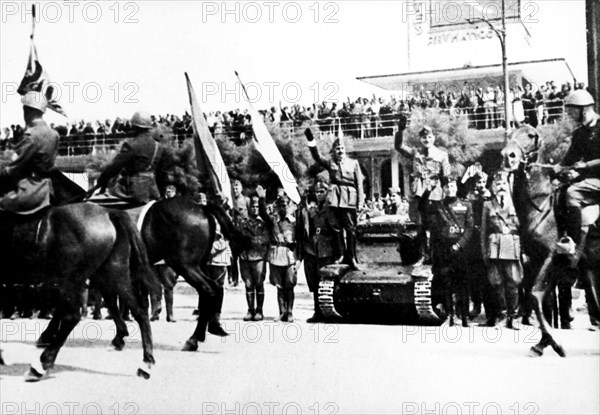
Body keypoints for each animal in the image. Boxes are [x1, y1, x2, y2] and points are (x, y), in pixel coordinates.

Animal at [0, 203, 161, 382]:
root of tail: (108, 212)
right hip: (113, 273)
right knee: (139, 311)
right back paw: (145, 362)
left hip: (72, 280)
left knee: (72, 317)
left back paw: (41, 365)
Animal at [502, 124, 600, 358]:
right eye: (511, 133)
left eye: (530, 135)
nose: (508, 156)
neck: (541, 206)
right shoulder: (537, 262)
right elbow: (542, 302)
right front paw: (542, 344)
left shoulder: (551, 259)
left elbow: (535, 296)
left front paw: (556, 344)